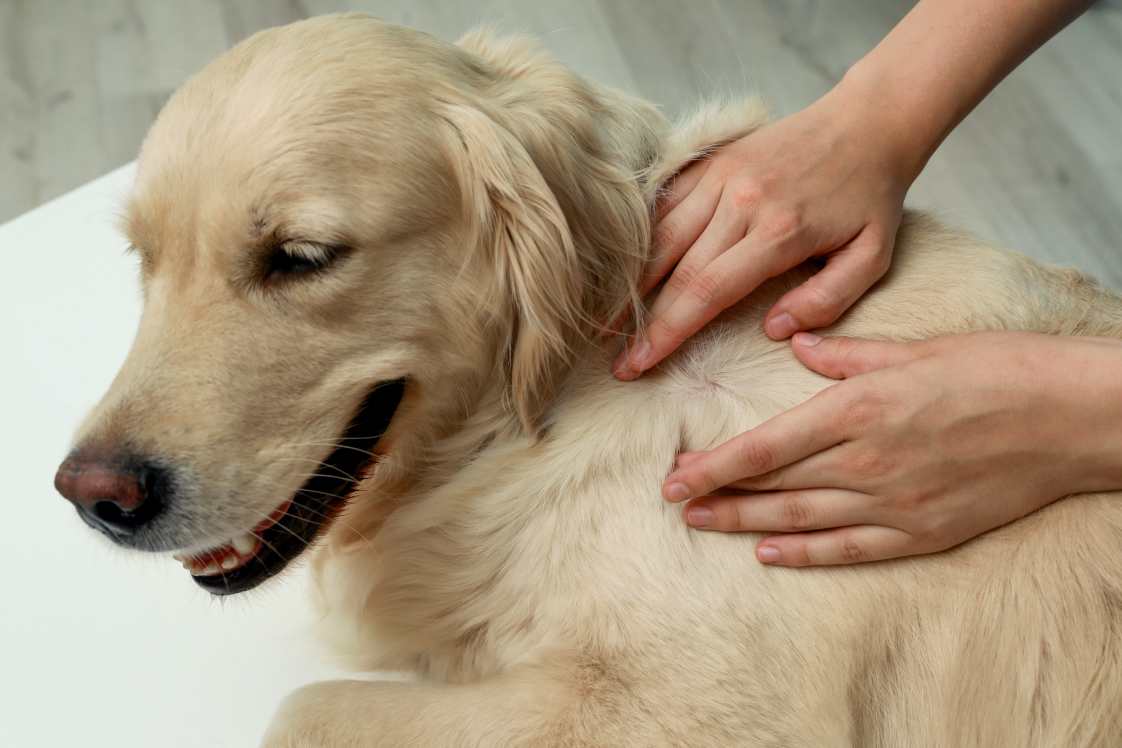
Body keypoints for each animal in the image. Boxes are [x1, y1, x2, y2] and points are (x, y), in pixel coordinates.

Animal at [56, 13, 1122, 748]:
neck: (556, 393)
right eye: (144, 259)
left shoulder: (689, 711)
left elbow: (301, 710)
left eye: (301, 258)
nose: (92, 497)